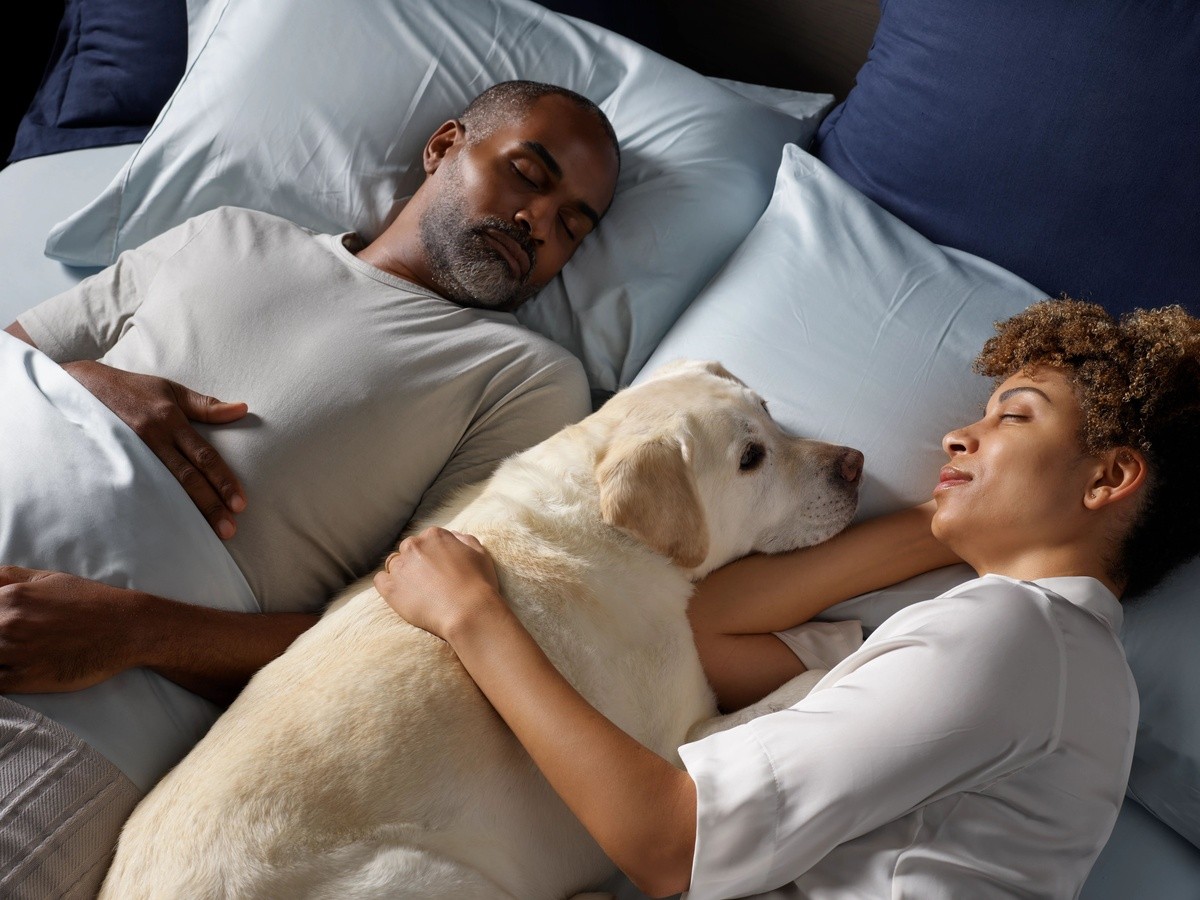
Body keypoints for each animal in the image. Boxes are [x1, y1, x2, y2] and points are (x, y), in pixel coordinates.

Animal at [98, 362, 859, 900]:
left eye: (769, 413)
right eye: (750, 459)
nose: (854, 464)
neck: (595, 510)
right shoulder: (675, 749)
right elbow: (792, 691)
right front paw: (839, 654)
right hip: (429, 876)